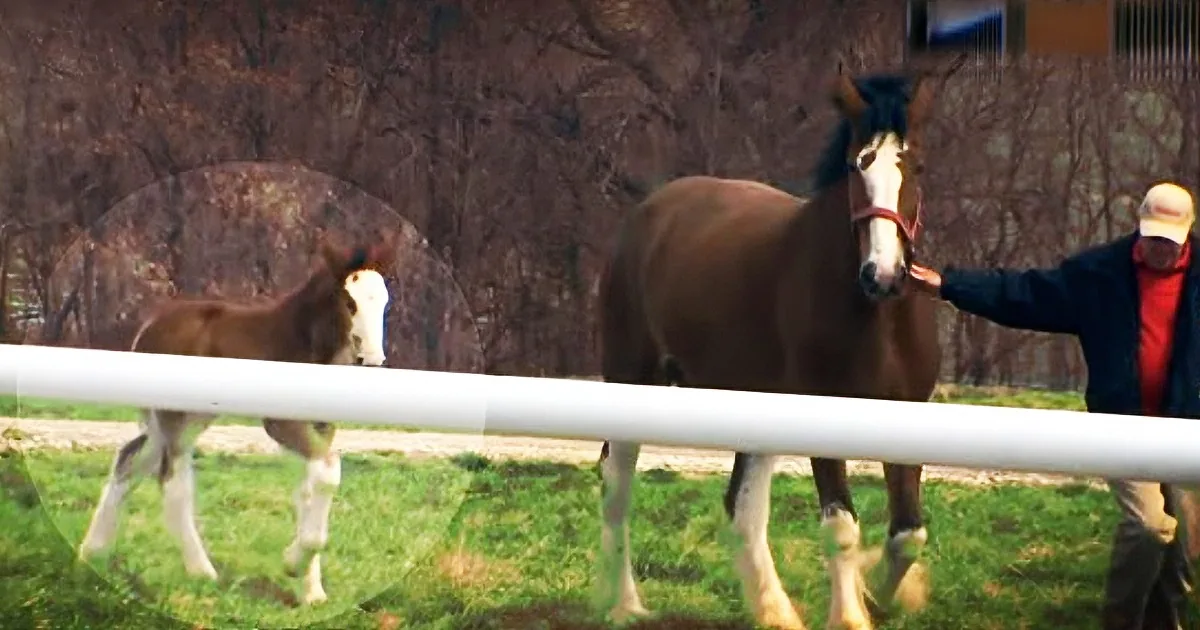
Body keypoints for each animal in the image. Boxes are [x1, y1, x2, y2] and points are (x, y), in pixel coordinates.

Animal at [77, 233, 396, 606]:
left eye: (384, 302)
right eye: (349, 301)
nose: (372, 360)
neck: (304, 342)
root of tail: (148, 326)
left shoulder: (323, 425)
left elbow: (312, 485)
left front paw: (311, 590)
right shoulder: (281, 423)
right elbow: (327, 474)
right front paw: (293, 564)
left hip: (190, 417)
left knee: (131, 459)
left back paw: (90, 552)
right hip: (173, 416)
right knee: (171, 480)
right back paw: (202, 572)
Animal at [594, 63, 955, 630]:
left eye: (915, 165)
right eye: (856, 165)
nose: (883, 274)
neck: (873, 315)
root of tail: (650, 212)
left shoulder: (905, 414)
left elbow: (907, 534)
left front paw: (882, 595)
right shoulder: (822, 415)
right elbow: (842, 528)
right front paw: (852, 615)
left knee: (742, 508)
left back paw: (775, 612)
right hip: (633, 379)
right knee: (617, 483)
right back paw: (626, 604)